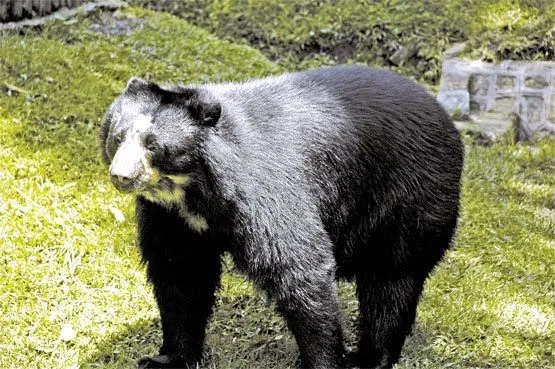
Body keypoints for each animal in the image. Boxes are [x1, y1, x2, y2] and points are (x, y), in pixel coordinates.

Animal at [99, 66, 464, 368]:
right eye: (118, 136)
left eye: (153, 145)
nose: (121, 175)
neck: (192, 189)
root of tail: (443, 115)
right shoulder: (172, 218)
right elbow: (180, 273)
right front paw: (166, 359)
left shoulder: (266, 191)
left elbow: (296, 268)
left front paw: (323, 360)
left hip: (408, 194)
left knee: (392, 279)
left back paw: (370, 357)